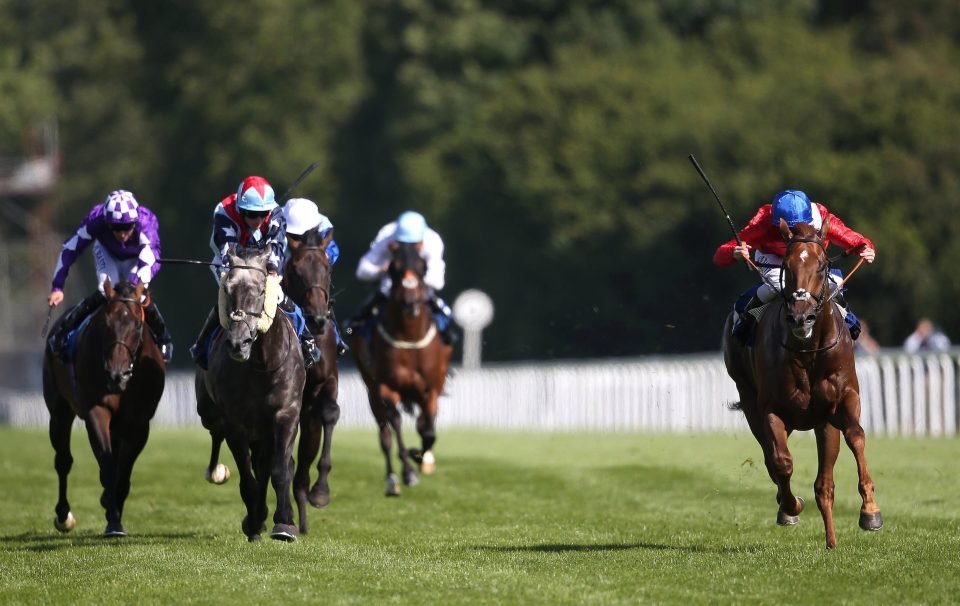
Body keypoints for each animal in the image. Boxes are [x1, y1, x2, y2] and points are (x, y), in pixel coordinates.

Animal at [41, 278, 167, 540]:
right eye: (105, 324)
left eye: (138, 325)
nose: (117, 374)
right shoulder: (96, 411)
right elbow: (108, 467)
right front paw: (114, 521)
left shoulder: (139, 422)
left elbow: (123, 472)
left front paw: (112, 507)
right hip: (58, 410)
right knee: (63, 460)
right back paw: (63, 515)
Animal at [192, 249, 304, 544]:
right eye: (227, 289)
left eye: (261, 289)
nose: (238, 343)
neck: (262, 365)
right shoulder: (236, 422)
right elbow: (247, 477)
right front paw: (254, 524)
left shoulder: (286, 413)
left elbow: (278, 470)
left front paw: (284, 525)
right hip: (209, 413)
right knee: (218, 434)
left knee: (265, 465)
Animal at [352, 242, 454, 498]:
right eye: (393, 267)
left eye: (423, 266)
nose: (409, 301)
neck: (409, 337)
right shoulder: (385, 387)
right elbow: (396, 423)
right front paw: (409, 471)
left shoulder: (430, 389)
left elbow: (428, 431)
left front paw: (420, 456)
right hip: (371, 391)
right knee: (385, 434)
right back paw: (392, 480)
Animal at [720, 218, 884, 552]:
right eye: (787, 264)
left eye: (821, 266)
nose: (801, 317)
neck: (808, 351)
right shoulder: (771, 410)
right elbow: (781, 462)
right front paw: (791, 506)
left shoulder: (842, 401)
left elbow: (856, 437)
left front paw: (870, 511)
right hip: (749, 399)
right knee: (771, 457)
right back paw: (790, 508)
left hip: (822, 422)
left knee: (824, 483)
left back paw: (832, 539)